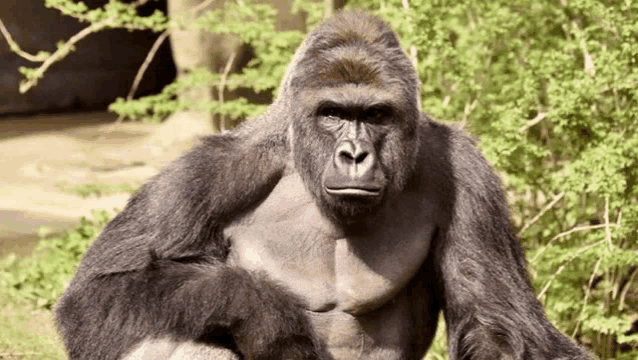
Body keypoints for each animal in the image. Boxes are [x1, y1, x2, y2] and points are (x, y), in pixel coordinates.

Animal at [55, 11, 596, 360]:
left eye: (375, 115)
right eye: (333, 113)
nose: (354, 155)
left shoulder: (466, 174)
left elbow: (496, 323)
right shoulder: (208, 173)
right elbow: (97, 294)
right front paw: (263, 312)